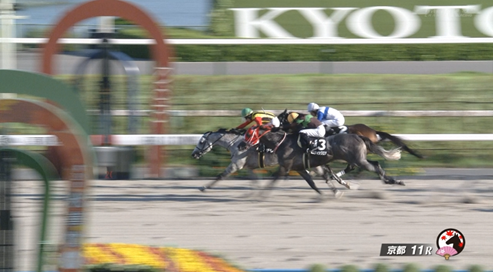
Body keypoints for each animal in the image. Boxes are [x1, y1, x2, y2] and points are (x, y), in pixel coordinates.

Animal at [238, 125, 404, 198]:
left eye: (249, 134)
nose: (240, 145)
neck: (283, 142)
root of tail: (359, 135)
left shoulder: (285, 167)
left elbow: (273, 180)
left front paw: (261, 194)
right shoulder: (301, 168)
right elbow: (313, 182)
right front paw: (332, 193)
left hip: (358, 160)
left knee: (375, 167)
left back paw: (393, 181)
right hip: (359, 158)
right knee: (376, 164)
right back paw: (391, 181)